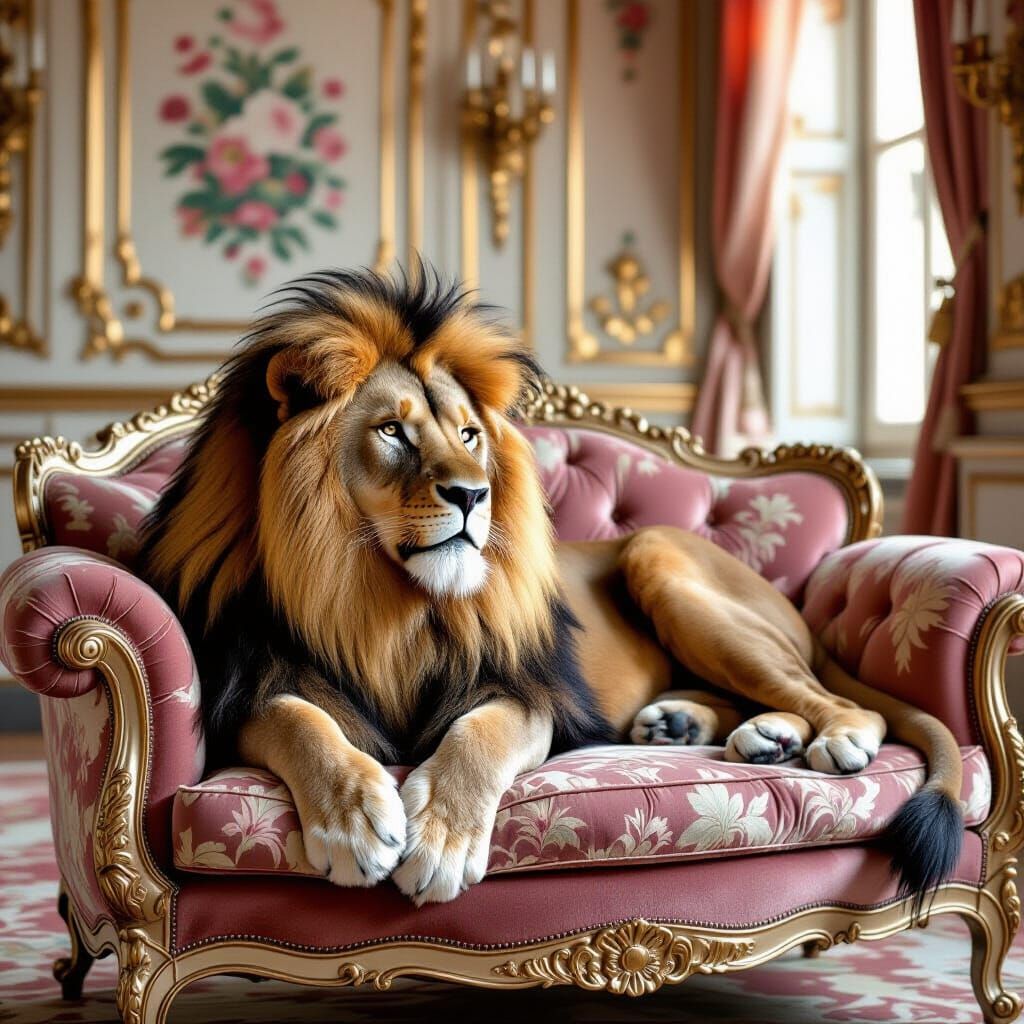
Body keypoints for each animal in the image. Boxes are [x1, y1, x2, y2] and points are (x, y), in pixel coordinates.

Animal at [139, 267, 964, 909]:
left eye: (468, 434)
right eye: (393, 432)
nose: (474, 495)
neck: (378, 597)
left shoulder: (527, 693)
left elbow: (477, 738)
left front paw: (439, 837)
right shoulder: (246, 687)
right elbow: (301, 723)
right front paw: (354, 819)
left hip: (658, 555)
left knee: (837, 699)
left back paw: (827, 735)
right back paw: (713, 730)